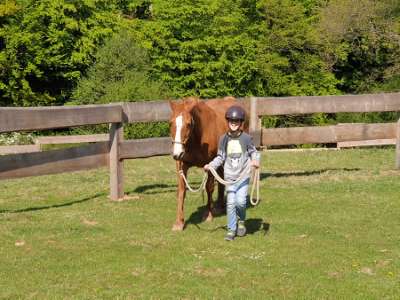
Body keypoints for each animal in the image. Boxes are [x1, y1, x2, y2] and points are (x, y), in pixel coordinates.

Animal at [168, 97, 247, 231]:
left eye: (188, 124)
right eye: (170, 123)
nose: (177, 153)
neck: (197, 138)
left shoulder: (210, 163)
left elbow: (209, 188)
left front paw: (208, 215)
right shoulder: (182, 165)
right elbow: (181, 191)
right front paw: (179, 222)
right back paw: (219, 206)